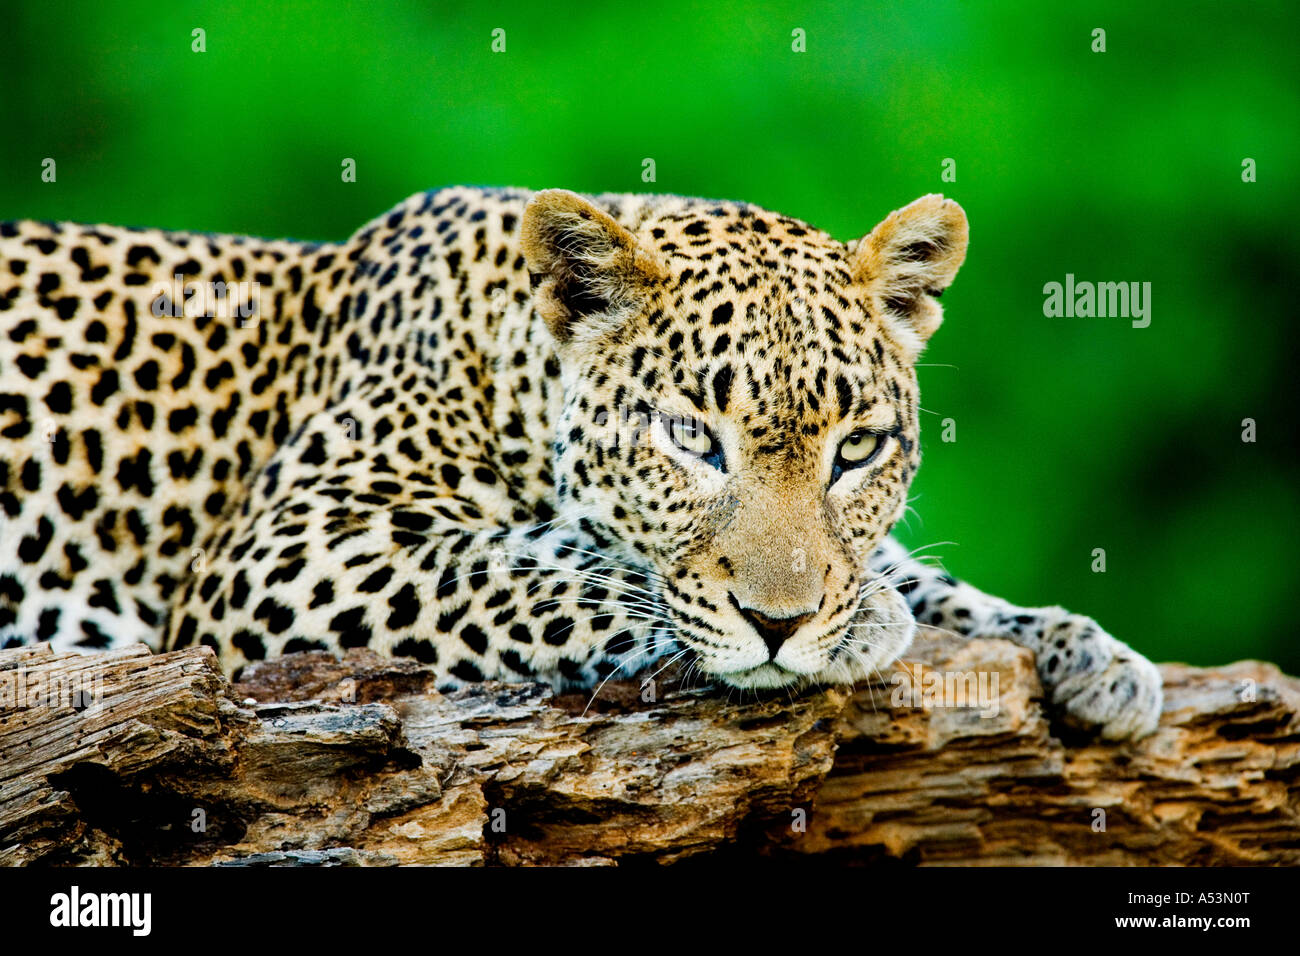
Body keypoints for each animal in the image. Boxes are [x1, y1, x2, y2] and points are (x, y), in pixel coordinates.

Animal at [0, 186, 1163, 740]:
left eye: (857, 449)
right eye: (692, 437)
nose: (781, 625)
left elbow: (913, 574)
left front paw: (1091, 652)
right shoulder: (289, 547)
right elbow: (529, 567)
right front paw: (861, 623)